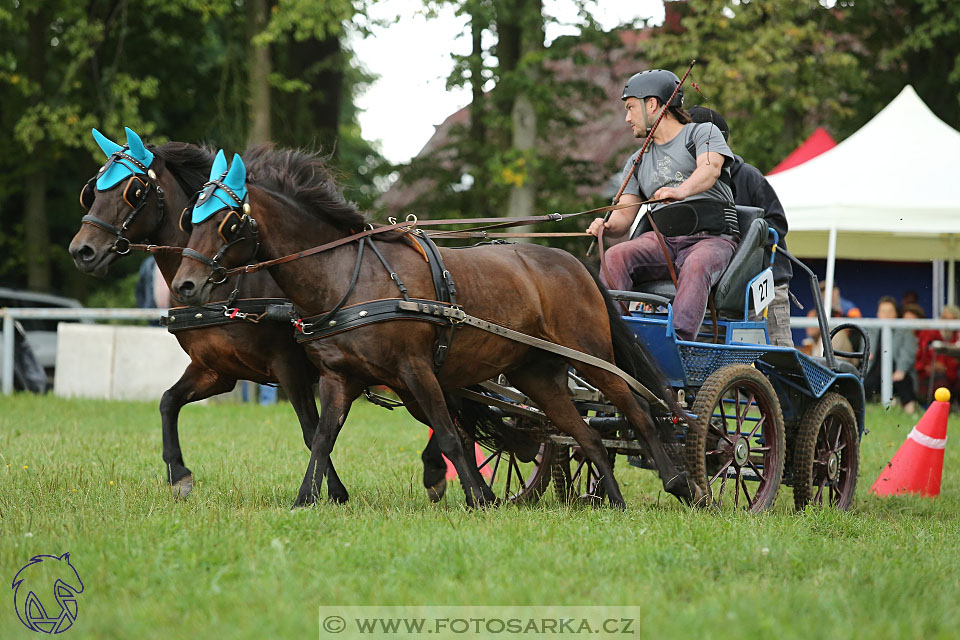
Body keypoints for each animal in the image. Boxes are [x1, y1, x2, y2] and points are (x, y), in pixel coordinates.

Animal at [171, 148, 696, 508]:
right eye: (189, 218)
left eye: (227, 223)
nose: (184, 285)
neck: (350, 276)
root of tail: (574, 263)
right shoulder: (340, 377)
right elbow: (321, 437)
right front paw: (306, 500)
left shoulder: (416, 370)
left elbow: (448, 434)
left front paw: (478, 500)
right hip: (536, 374)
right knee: (585, 436)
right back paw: (615, 501)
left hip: (591, 356)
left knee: (638, 412)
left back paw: (682, 484)